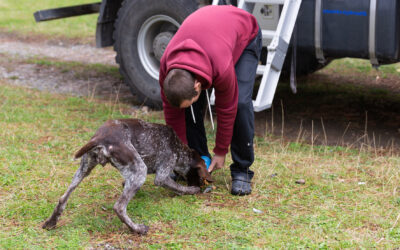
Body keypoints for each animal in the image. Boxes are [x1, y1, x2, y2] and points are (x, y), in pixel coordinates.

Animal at [41, 118, 212, 234]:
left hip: (84, 168)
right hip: (140, 170)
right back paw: (137, 229)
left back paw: (51, 222)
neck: (178, 148)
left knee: (63, 198)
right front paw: (192, 190)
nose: (202, 185)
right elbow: (178, 187)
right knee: (119, 207)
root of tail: (100, 137)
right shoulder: (162, 175)